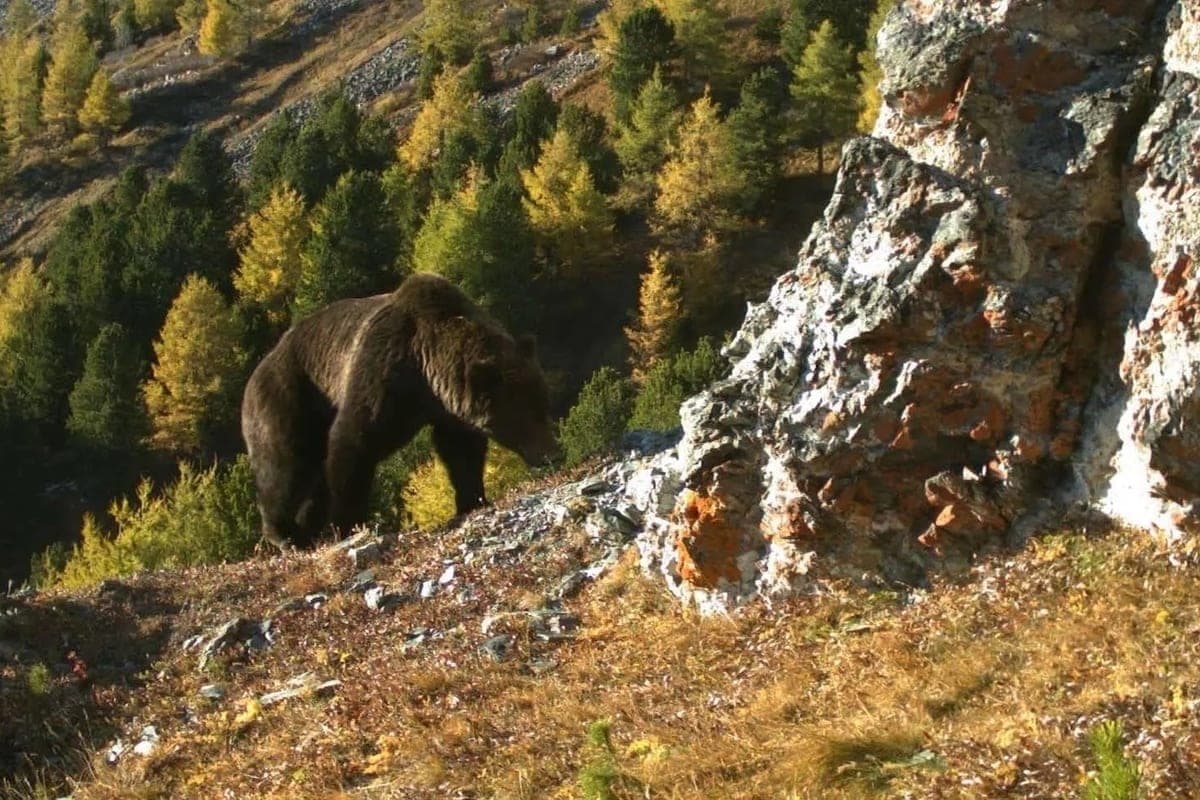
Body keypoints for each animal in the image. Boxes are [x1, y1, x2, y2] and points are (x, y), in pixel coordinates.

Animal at [240, 273, 561, 549]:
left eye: (545, 404)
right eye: (525, 415)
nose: (551, 453)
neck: (426, 371)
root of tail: (257, 370)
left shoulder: (449, 410)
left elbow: (461, 452)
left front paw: (473, 500)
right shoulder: (382, 372)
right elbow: (354, 442)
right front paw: (347, 523)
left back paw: (306, 531)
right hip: (291, 396)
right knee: (286, 463)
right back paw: (285, 534)